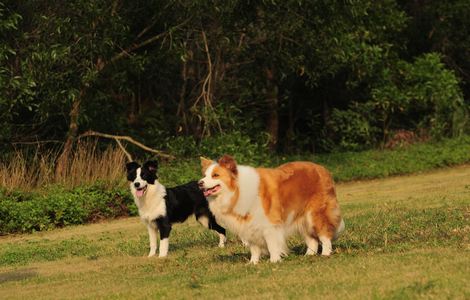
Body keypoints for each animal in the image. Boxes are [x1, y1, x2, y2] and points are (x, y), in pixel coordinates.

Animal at [198, 156, 346, 264]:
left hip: (315, 214)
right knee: (312, 239)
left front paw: (274, 261)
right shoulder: (249, 224)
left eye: (215, 175)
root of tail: (322, 169)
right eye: (205, 175)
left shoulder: (269, 223)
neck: (237, 191)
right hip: (301, 217)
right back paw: (308, 255)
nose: (199, 183)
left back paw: (325, 253)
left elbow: (272, 244)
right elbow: (254, 247)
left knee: (324, 234)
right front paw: (253, 263)